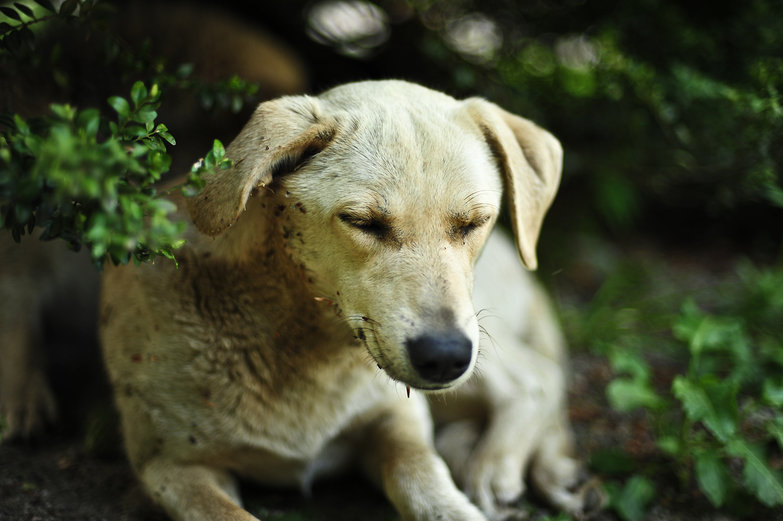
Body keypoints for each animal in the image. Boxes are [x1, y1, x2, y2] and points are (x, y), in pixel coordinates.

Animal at [98, 78, 604, 520]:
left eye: (474, 222)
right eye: (363, 222)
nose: (444, 357)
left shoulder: (401, 422)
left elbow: (428, 485)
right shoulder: (171, 467)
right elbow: (228, 514)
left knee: (537, 377)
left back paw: (500, 466)